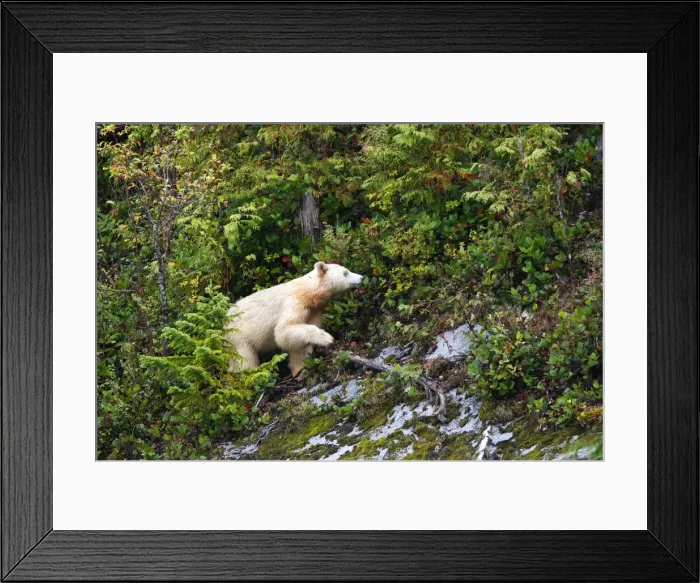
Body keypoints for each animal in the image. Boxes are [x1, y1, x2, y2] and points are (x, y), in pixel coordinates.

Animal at [224, 261, 364, 377]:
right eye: (345, 272)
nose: (361, 277)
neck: (308, 293)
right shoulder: (294, 302)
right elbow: (283, 330)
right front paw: (326, 338)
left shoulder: (313, 311)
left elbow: (299, 342)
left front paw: (300, 370)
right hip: (238, 336)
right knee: (245, 358)